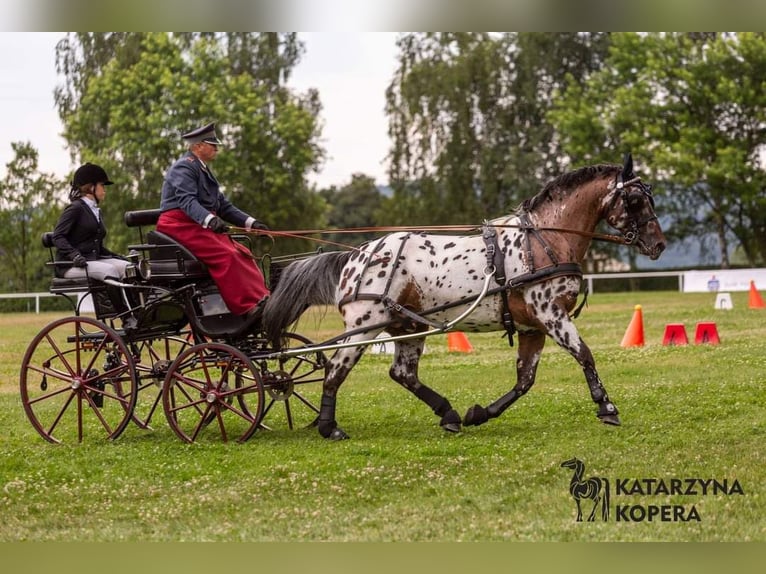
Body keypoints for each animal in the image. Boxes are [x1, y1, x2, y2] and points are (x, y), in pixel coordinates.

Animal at [260, 153, 664, 440]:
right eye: (634, 200)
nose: (659, 244)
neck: (544, 239)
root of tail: (356, 256)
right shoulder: (551, 314)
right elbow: (585, 355)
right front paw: (607, 408)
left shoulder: (532, 326)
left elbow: (524, 380)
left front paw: (479, 414)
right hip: (365, 325)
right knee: (335, 369)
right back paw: (330, 427)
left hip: (406, 327)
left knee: (402, 373)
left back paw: (449, 415)